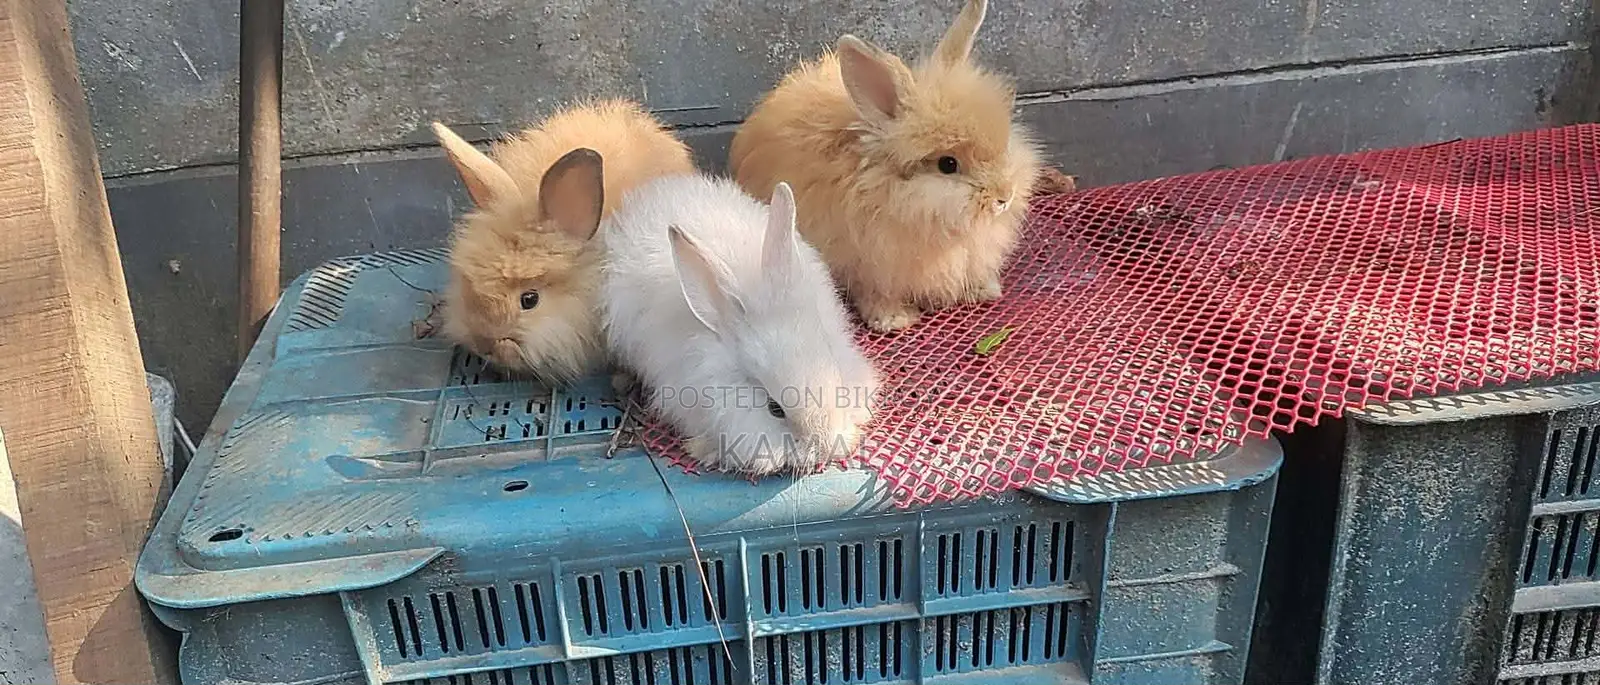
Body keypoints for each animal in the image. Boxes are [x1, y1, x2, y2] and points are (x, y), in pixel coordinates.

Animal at [727, 0, 1045, 333]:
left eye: (1004, 143)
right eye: (948, 164)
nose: (1004, 197)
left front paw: (985, 289)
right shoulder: (867, 265)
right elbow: (876, 294)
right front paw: (893, 320)